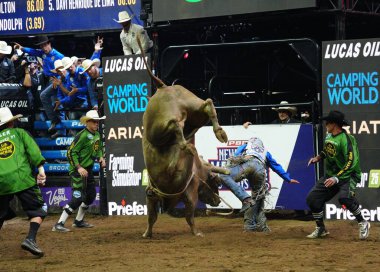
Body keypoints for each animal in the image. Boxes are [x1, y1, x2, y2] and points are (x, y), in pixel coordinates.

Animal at [138, 37, 230, 237]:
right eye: (216, 182)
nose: (218, 201)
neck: (199, 169)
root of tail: (162, 87)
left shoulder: (187, 192)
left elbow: (185, 216)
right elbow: (153, 217)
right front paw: (147, 233)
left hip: (164, 126)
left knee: (179, 123)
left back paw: (194, 142)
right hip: (190, 110)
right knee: (204, 106)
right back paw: (215, 135)